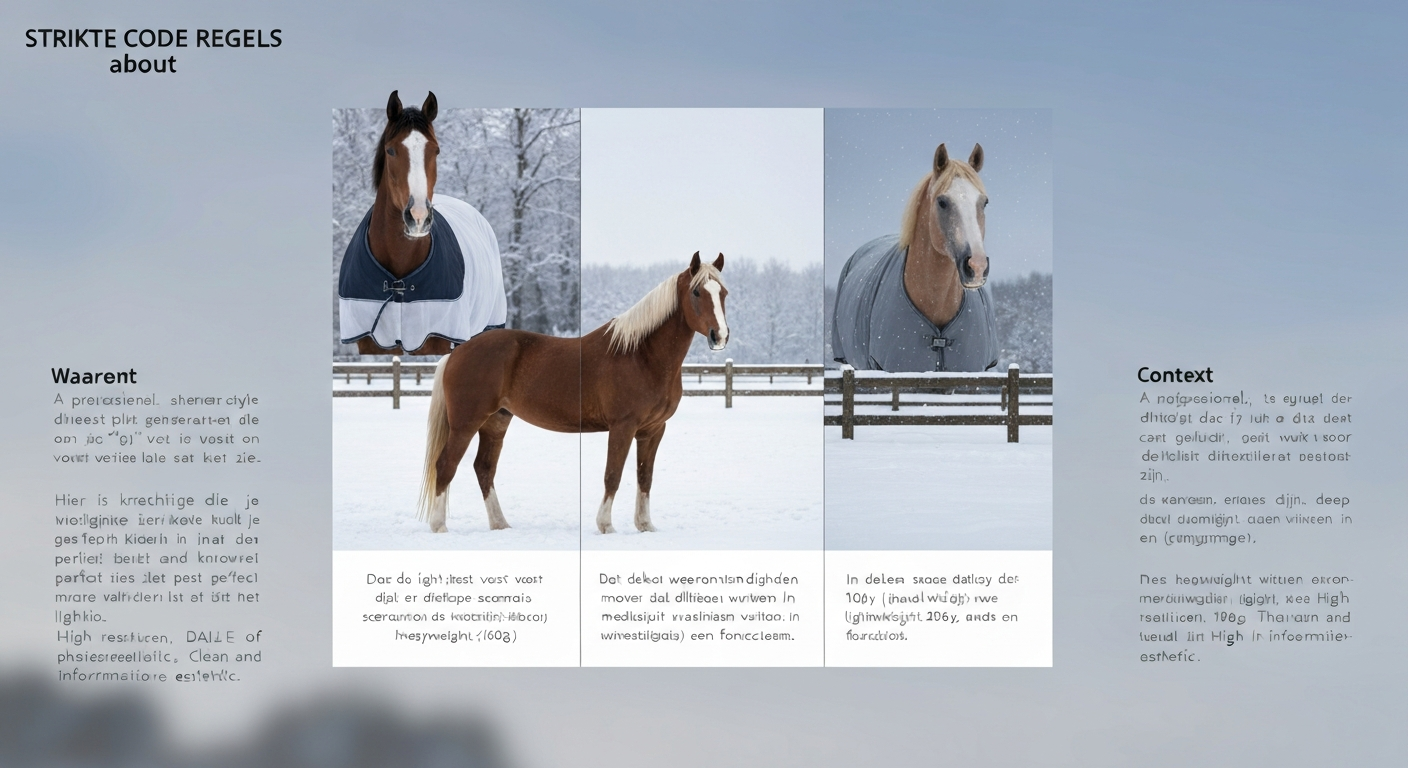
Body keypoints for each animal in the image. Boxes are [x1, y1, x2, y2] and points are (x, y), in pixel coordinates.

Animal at [418, 252, 729, 534]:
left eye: (723, 292)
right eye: (697, 292)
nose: (720, 336)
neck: (641, 355)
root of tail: (458, 351)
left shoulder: (653, 430)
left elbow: (645, 476)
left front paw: (645, 525)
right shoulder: (623, 426)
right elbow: (613, 475)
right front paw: (606, 526)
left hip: (496, 422)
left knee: (484, 468)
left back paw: (500, 524)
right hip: (466, 423)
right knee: (445, 465)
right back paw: (439, 526)